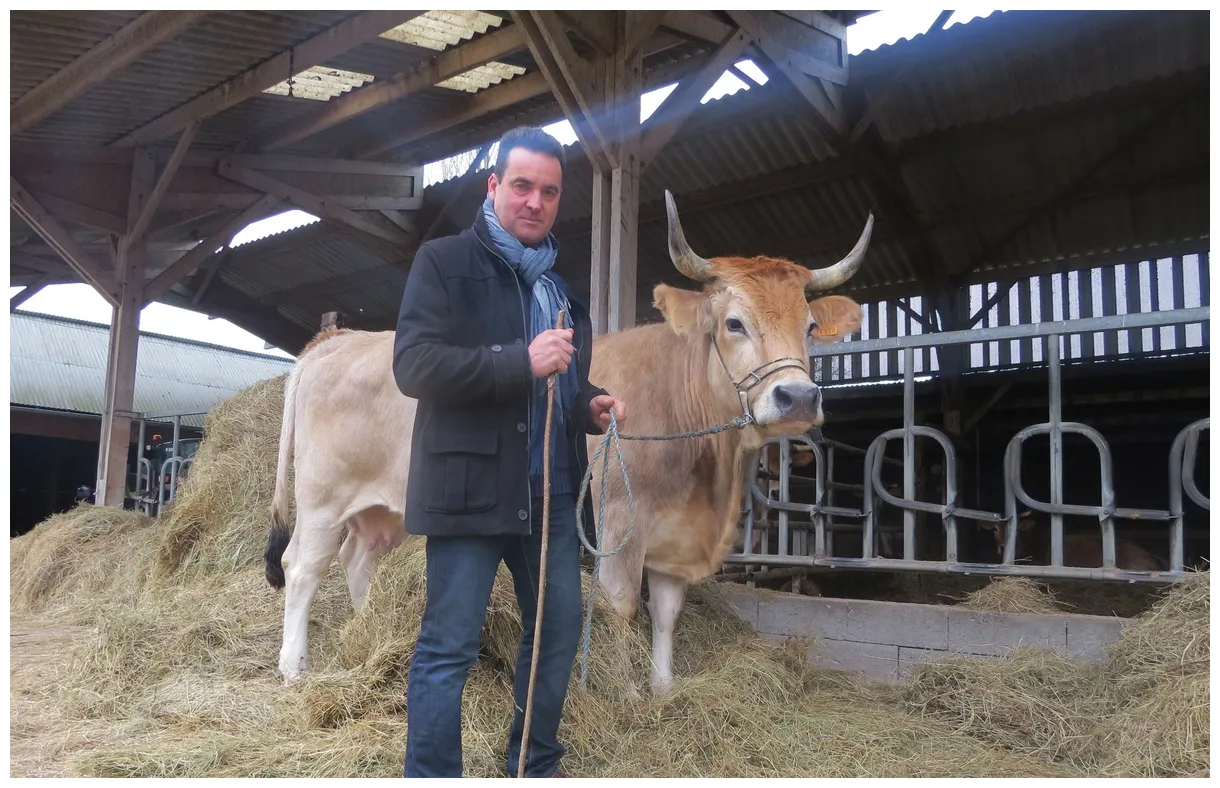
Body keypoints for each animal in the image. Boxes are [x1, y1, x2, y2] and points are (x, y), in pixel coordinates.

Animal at [585, 192, 871, 693]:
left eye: (811, 327)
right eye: (734, 323)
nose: (799, 398)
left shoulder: (679, 532)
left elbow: (667, 610)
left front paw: (663, 688)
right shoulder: (618, 518)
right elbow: (620, 605)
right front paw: (624, 692)